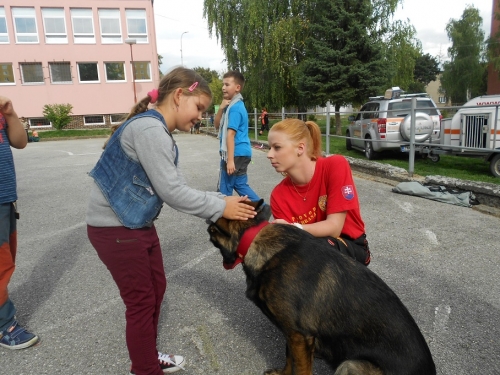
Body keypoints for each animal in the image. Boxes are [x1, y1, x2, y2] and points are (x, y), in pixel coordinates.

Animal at [206, 201, 434, 374]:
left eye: (211, 234)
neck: (259, 243)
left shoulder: (299, 335)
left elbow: (300, 369)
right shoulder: (294, 333)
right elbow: (289, 359)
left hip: (351, 364)